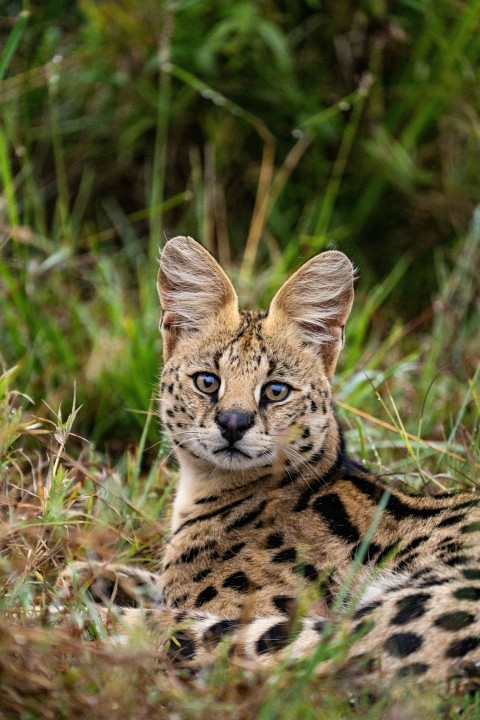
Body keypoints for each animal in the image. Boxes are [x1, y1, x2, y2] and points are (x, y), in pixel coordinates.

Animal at [57, 235, 480, 687]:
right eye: (207, 381)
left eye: (276, 390)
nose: (233, 421)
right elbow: (148, 580)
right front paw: (87, 575)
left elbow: (175, 611)